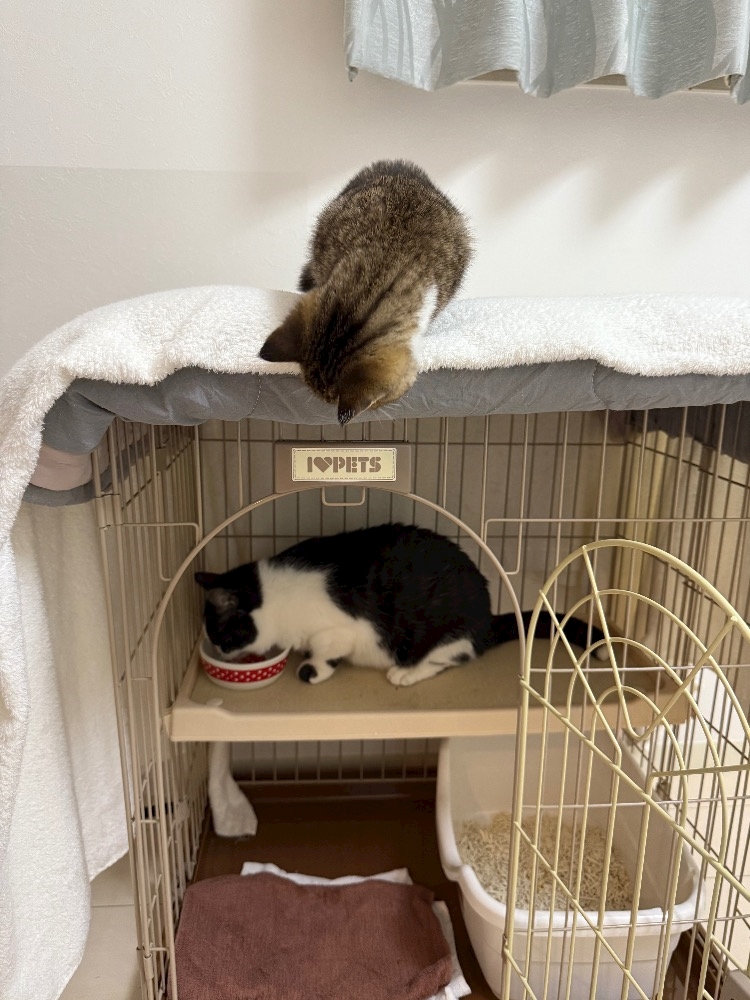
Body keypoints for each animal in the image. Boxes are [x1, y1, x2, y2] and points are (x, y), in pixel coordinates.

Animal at [196, 523, 605, 688]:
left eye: (220, 635)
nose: (218, 651)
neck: (274, 597)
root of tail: (487, 618)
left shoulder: (341, 628)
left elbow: (326, 648)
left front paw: (313, 669)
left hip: (445, 631)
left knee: (451, 656)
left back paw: (407, 672)